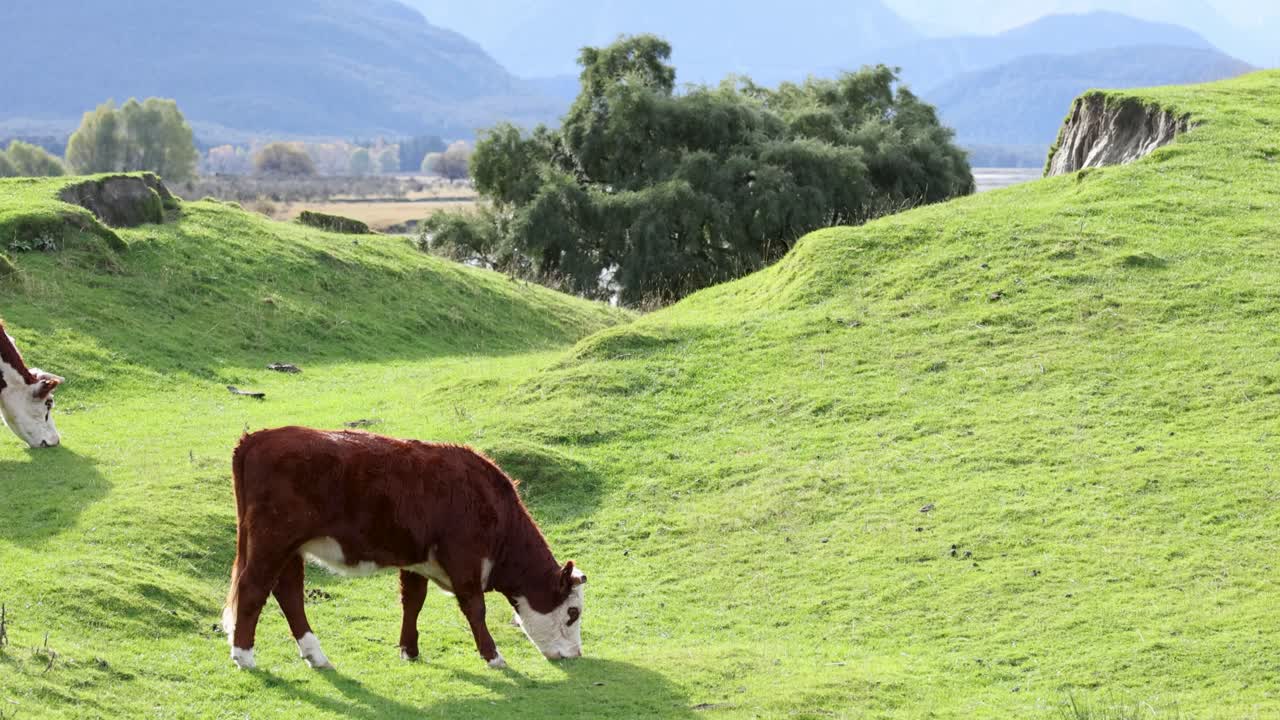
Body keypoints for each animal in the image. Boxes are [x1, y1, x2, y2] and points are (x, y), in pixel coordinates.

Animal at [222, 426, 588, 671]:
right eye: (573, 612)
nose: (576, 654)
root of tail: (259, 437)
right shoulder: (464, 560)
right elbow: (475, 608)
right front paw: (493, 656)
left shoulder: (417, 562)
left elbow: (413, 602)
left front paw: (409, 649)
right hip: (273, 541)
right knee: (253, 588)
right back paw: (244, 655)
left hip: (290, 548)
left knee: (289, 594)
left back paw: (316, 655)